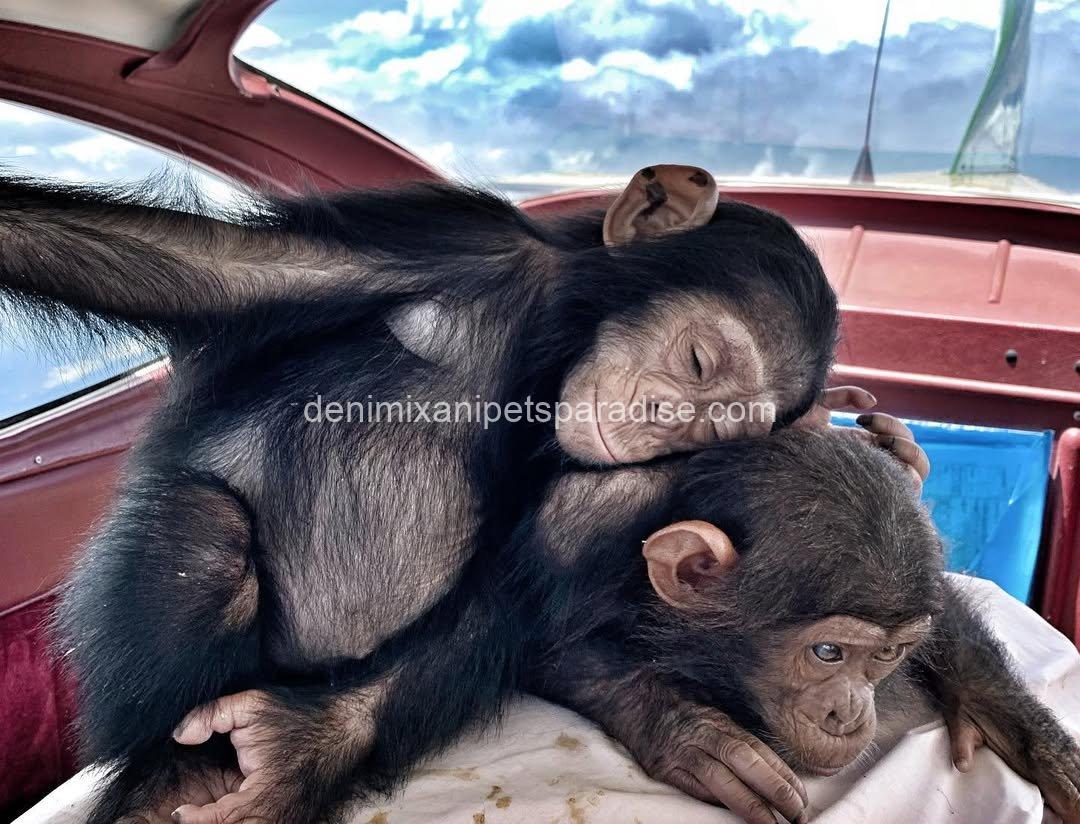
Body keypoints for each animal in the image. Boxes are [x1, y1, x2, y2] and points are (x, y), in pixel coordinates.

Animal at [0, 164, 869, 822]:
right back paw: (171, 772)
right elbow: (211, 267)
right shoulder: (445, 238)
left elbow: (518, 586)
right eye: (697, 360)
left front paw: (301, 751)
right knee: (207, 534)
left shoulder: (609, 484)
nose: (665, 418)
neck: (548, 343)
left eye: (713, 430)